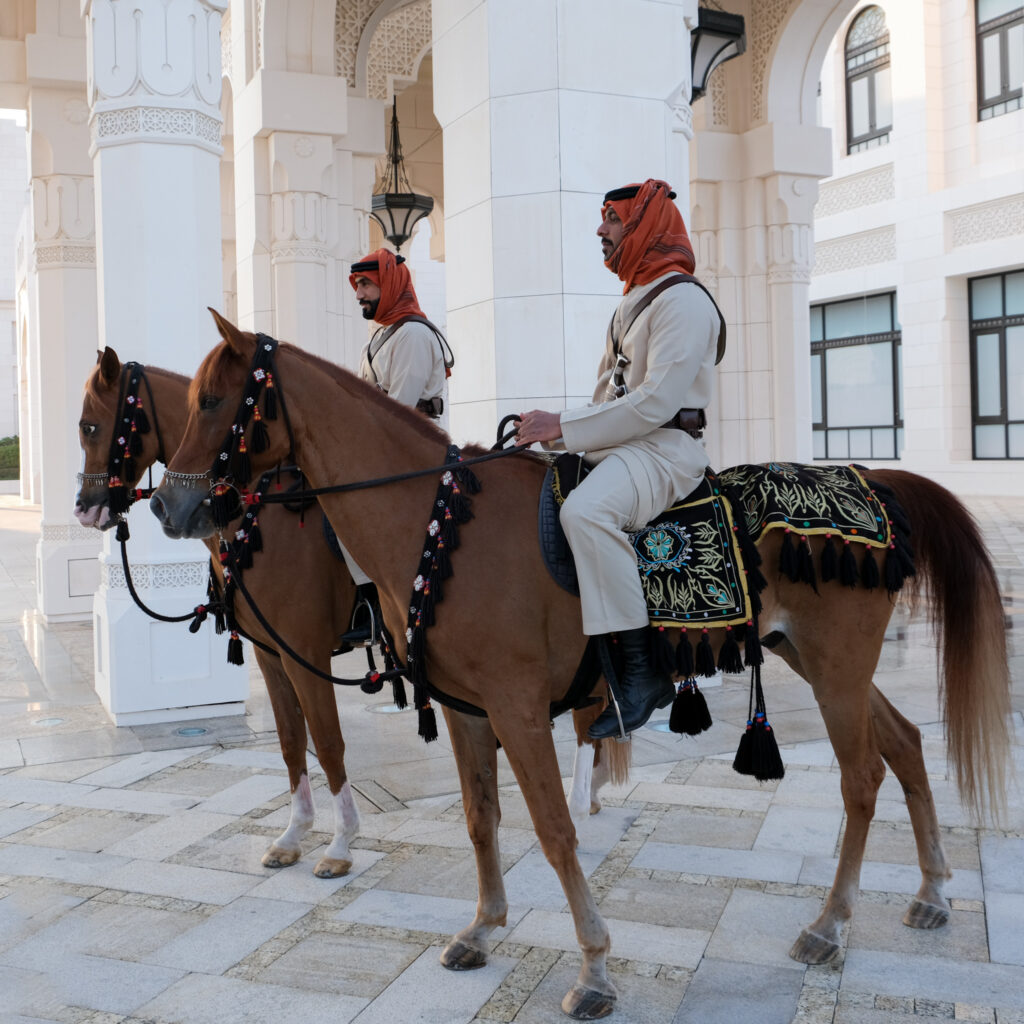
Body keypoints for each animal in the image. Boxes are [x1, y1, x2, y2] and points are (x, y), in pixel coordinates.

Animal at [150, 312, 1011, 1020]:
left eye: (214, 402)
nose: (167, 507)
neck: (438, 523)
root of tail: (872, 483)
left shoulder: (517, 709)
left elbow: (556, 830)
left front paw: (594, 967)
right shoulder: (464, 709)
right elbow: (481, 819)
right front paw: (483, 927)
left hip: (835, 668)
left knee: (862, 778)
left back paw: (830, 925)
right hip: (817, 661)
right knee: (904, 742)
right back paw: (932, 892)